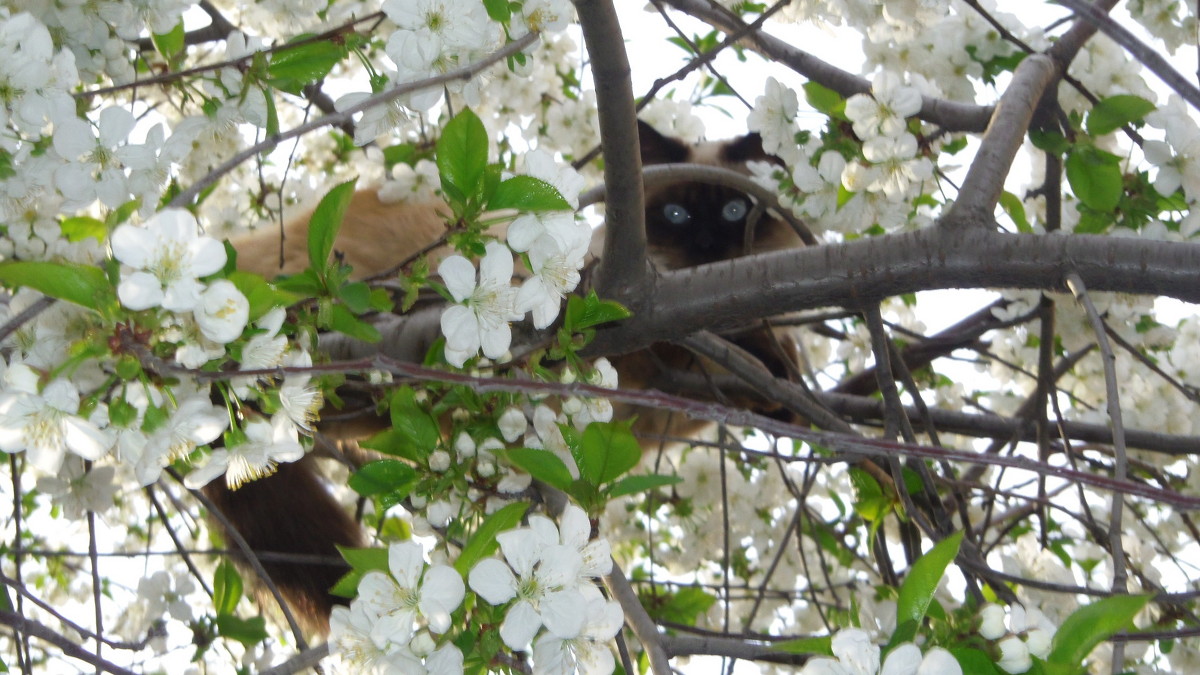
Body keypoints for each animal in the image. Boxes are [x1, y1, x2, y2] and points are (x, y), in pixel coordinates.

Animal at [208, 117, 806, 634]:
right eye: (677, 214)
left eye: (735, 209)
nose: (708, 248)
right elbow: (740, 354)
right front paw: (775, 362)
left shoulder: (662, 417)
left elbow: (768, 375)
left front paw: (787, 381)